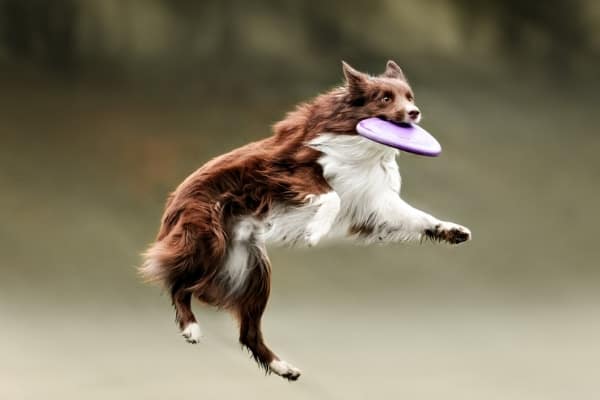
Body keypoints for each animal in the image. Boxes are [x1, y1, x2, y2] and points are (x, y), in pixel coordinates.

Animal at [139, 60, 468, 382]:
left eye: (409, 96)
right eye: (385, 98)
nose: (415, 112)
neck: (361, 146)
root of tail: (169, 207)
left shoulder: (373, 201)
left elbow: (415, 216)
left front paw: (451, 230)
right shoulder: (286, 170)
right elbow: (331, 196)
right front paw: (315, 231)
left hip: (254, 272)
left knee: (248, 332)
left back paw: (282, 367)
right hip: (209, 241)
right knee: (178, 284)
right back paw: (190, 327)